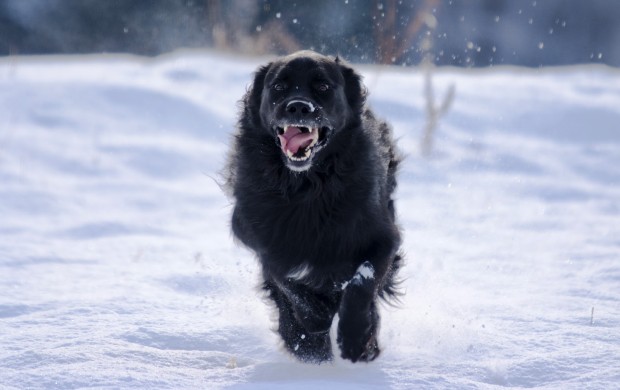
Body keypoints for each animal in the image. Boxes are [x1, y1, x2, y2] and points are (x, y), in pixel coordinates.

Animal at [225, 51, 404, 362]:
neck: (307, 188)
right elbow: (286, 279)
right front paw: (315, 319)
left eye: (322, 86)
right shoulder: (260, 237)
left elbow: (362, 282)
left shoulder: (384, 238)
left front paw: (355, 338)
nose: (298, 107)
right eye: (279, 86)